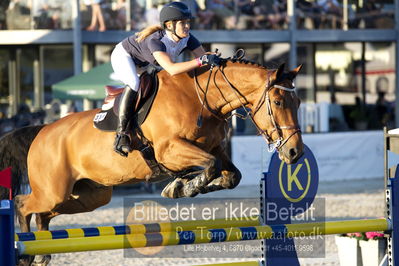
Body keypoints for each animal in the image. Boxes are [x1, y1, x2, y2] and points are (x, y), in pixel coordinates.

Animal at [0, 57, 304, 264]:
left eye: (299, 103)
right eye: (278, 102)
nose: (294, 152)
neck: (203, 98)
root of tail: (42, 131)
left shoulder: (215, 148)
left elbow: (230, 175)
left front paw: (183, 185)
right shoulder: (170, 150)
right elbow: (210, 166)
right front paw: (184, 186)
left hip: (87, 196)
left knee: (43, 214)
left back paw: (41, 254)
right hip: (53, 191)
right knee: (23, 204)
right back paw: (26, 252)